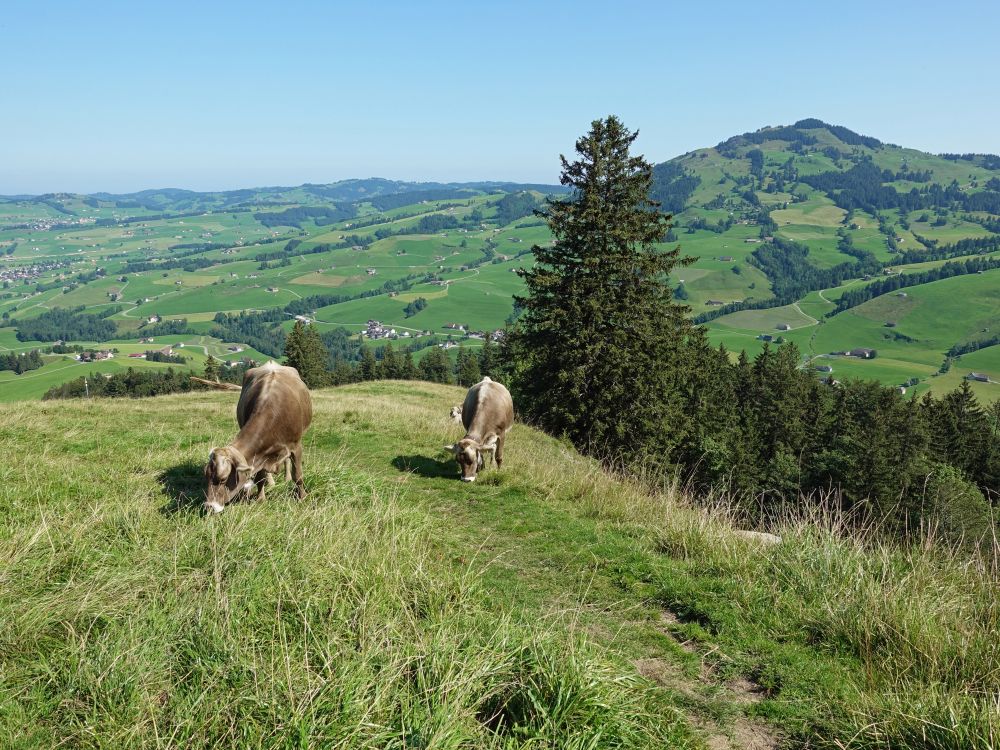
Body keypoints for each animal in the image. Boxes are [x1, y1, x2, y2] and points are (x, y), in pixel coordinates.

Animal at [203, 362, 312, 516]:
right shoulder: (259, 454)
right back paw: (271, 482)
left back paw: (286, 478)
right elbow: (260, 476)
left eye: (223, 479)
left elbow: (298, 475)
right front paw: (261, 499)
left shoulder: (296, 446)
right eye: (206, 475)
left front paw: (302, 497)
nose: (209, 507)